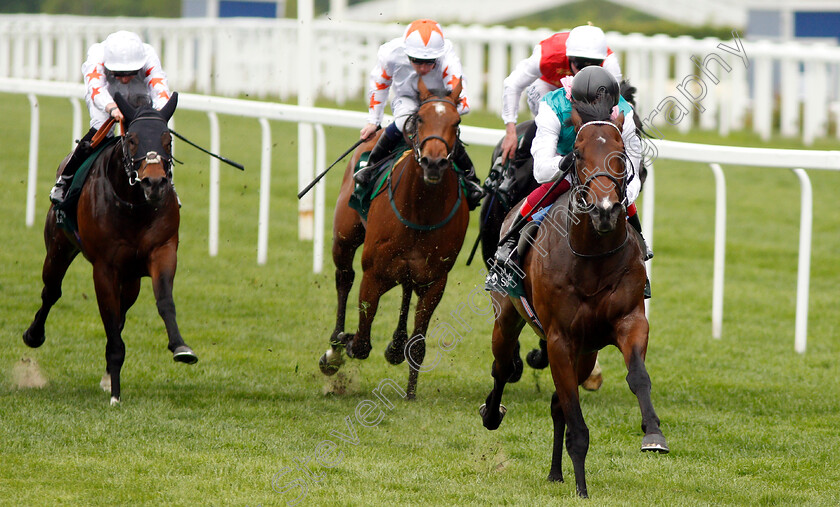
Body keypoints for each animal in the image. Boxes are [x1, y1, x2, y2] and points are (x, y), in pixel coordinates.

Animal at [23, 93, 197, 406]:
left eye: (167, 140)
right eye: (132, 139)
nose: (155, 183)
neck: (134, 205)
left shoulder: (162, 250)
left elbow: (164, 301)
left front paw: (180, 347)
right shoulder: (104, 267)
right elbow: (109, 316)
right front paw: (116, 392)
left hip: (131, 277)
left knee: (123, 309)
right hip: (58, 247)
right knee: (51, 291)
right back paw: (34, 334)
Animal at [320, 78, 470, 400]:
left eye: (457, 122)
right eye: (421, 118)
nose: (434, 162)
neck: (421, 209)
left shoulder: (435, 280)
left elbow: (419, 344)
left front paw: (410, 393)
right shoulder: (373, 274)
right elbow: (362, 342)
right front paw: (347, 342)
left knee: (405, 290)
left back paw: (396, 345)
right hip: (345, 238)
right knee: (344, 278)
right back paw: (335, 348)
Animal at [480, 98, 668, 496]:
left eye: (621, 153)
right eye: (578, 154)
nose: (605, 209)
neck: (592, 259)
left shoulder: (629, 321)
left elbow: (638, 377)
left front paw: (654, 434)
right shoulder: (559, 339)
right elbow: (576, 421)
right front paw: (582, 489)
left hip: (587, 351)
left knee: (557, 404)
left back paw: (555, 472)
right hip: (508, 317)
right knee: (502, 367)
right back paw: (491, 413)